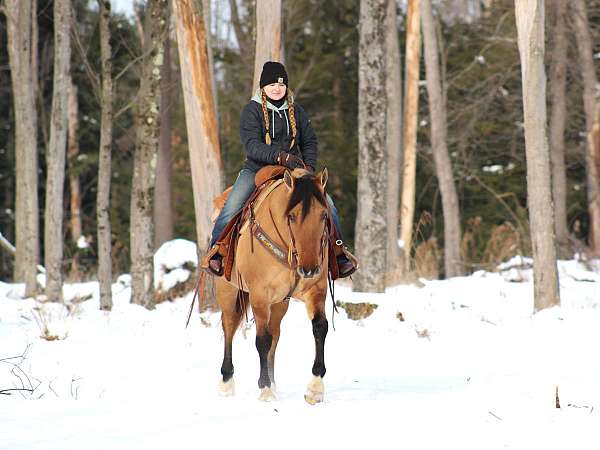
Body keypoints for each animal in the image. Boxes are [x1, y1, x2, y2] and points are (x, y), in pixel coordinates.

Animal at [216, 168, 328, 404]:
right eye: (292, 216)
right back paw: (227, 383)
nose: (309, 269)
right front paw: (265, 389)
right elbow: (262, 340)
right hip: (228, 291)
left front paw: (315, 388)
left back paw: (274, 383)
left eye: (324, 215)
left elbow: (320, 327)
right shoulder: (260, 296)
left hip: (280, 303)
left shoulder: (316, 290)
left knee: (275, 333)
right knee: (229, 326)